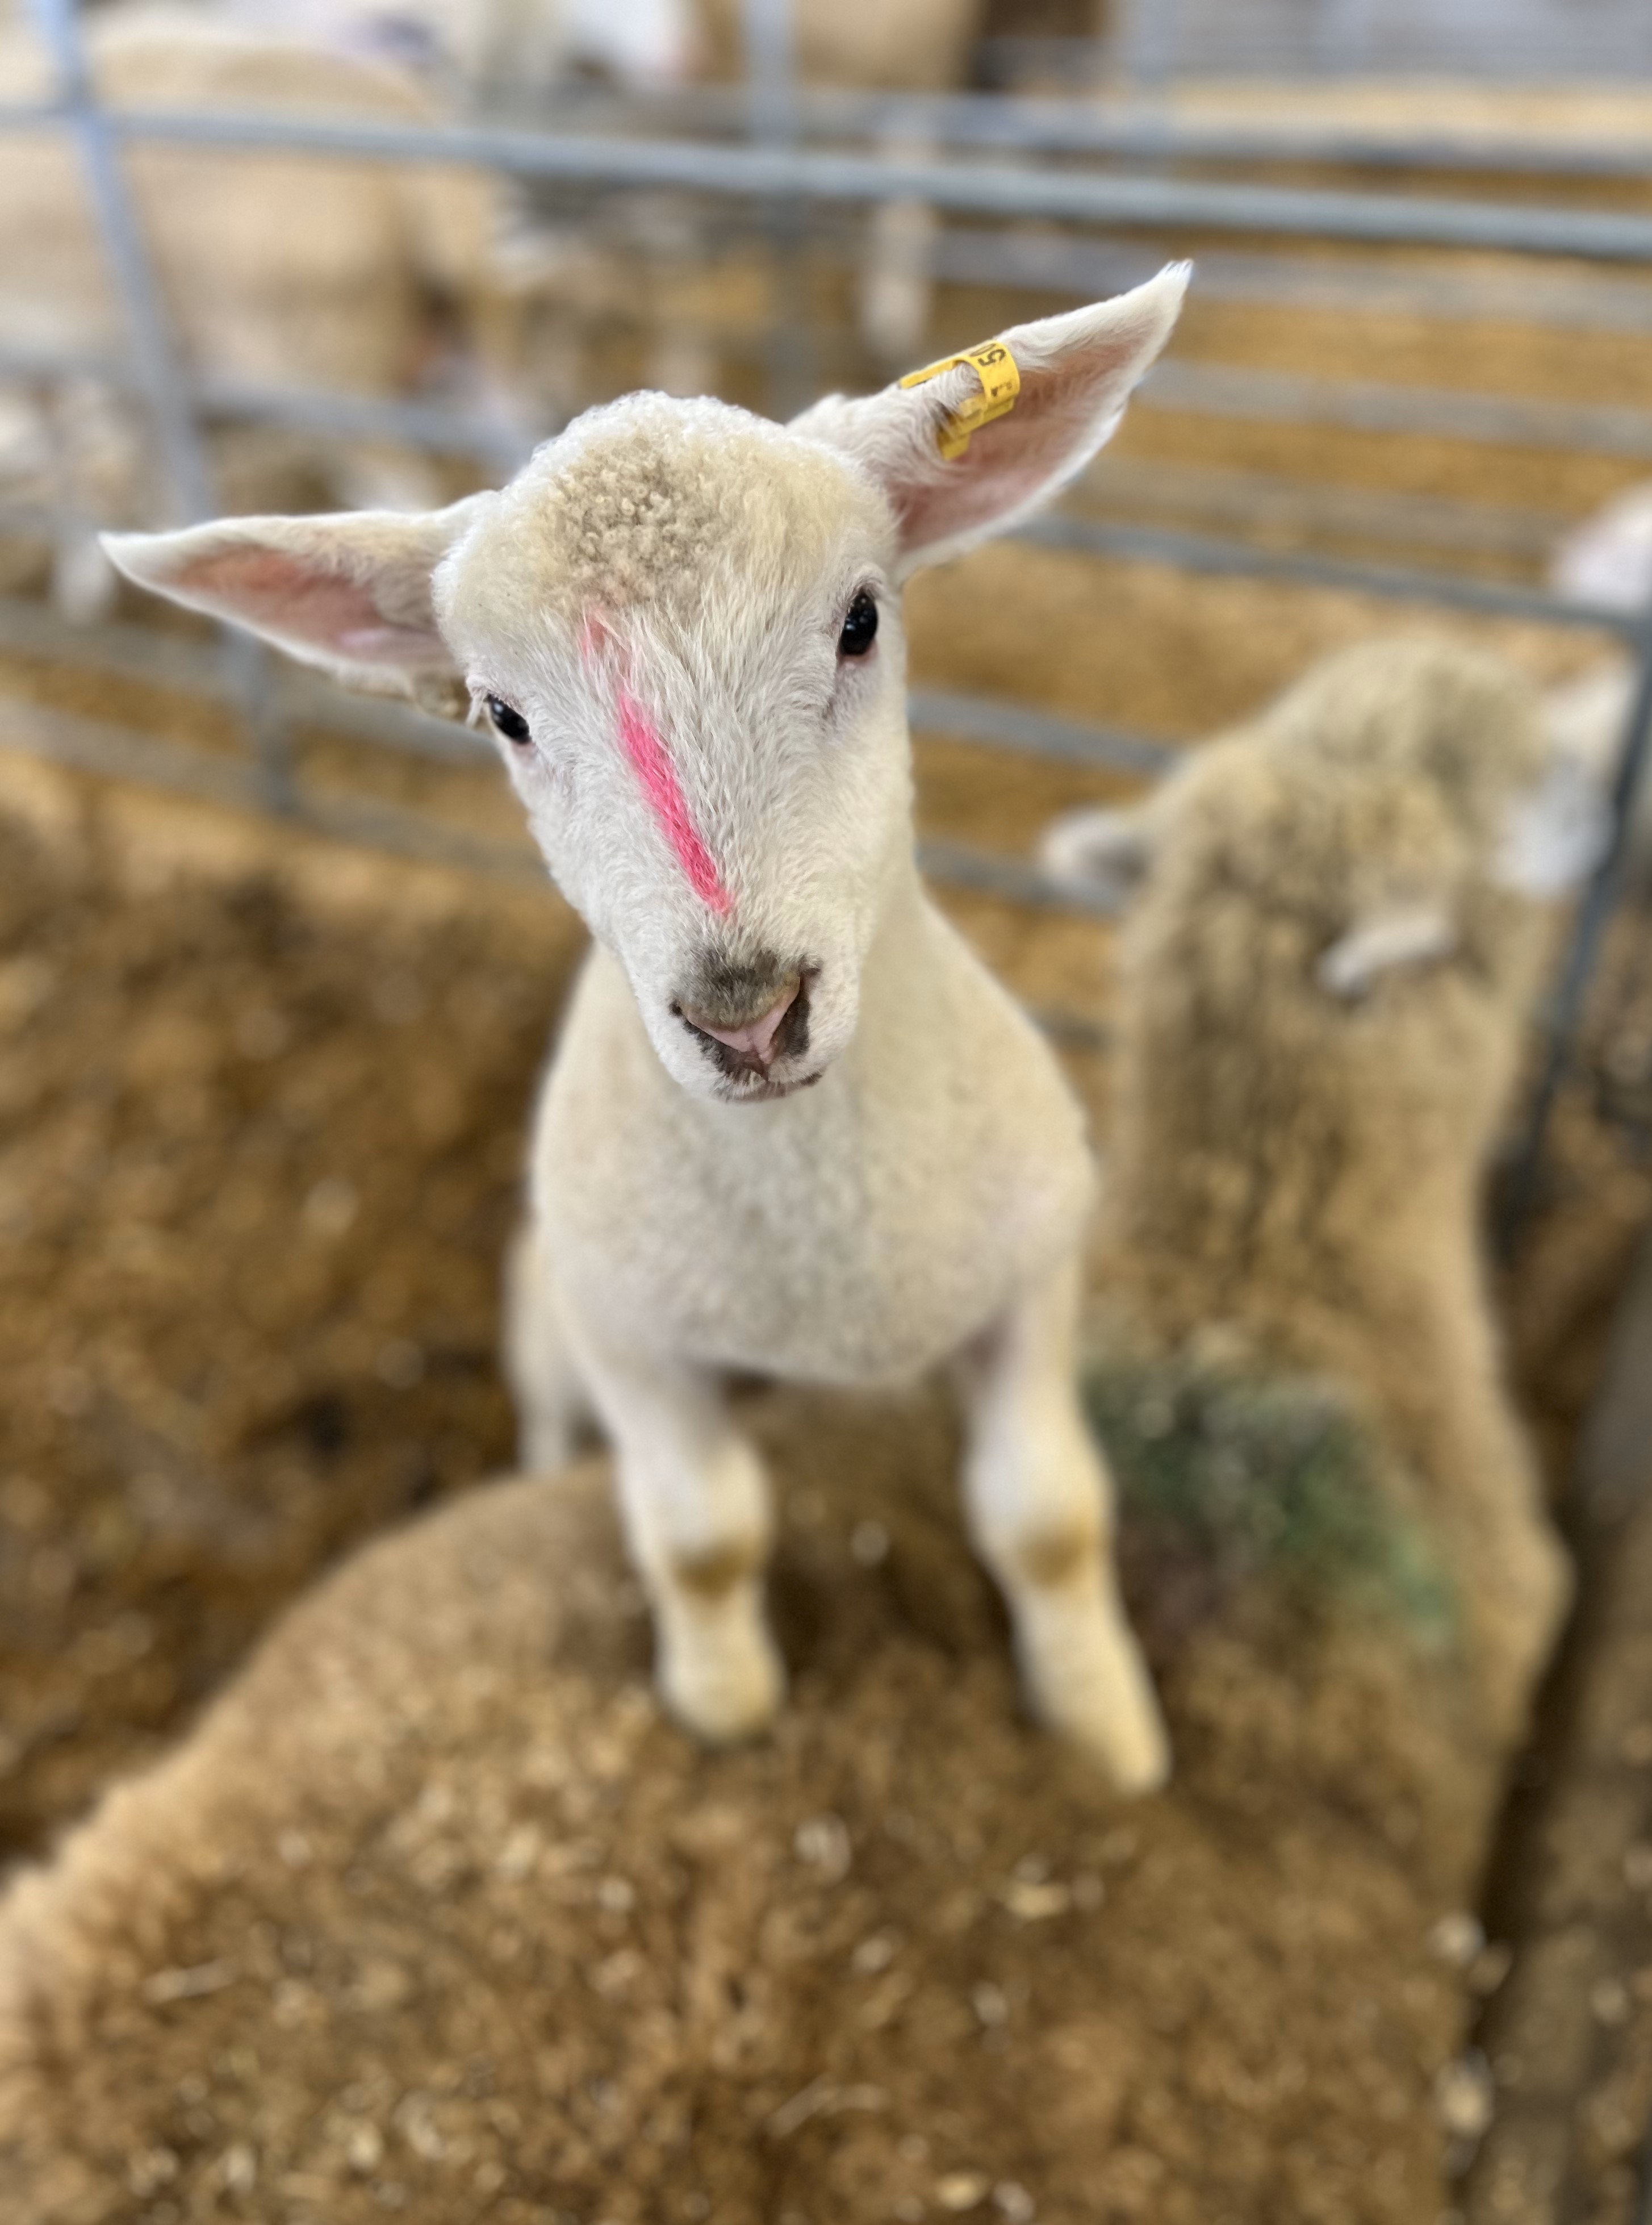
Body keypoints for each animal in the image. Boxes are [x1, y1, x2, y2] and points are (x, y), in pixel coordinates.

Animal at [106, 269, 1191, 1789]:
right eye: (501, 715)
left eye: (860, 622)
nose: (747, 1011)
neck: (824, 1246)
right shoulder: (629, 1332)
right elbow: (699, 1536)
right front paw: (724, 1711)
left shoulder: (1033, 1270)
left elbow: (1045, 1515)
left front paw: (1101, 1730)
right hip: (548, 1301)